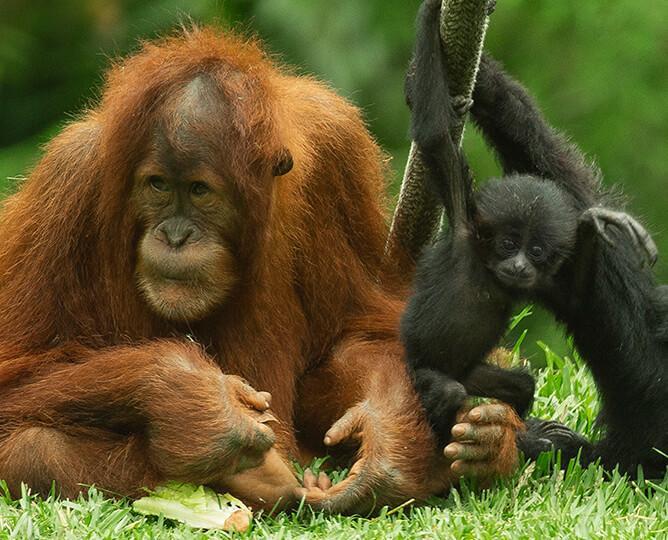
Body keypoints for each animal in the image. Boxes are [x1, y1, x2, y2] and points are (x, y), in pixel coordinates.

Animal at [401, 0, 666, 480]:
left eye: (537, 251)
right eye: (508, 244)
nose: (519, 265)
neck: (490, 273)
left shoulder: (544, 280)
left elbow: (581, 299)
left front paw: (591, 224)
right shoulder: (466, 226)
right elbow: (434, 137)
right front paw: (432, 18)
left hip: (477, 371)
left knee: (520, 383)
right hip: (422, 370)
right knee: (446, 390)